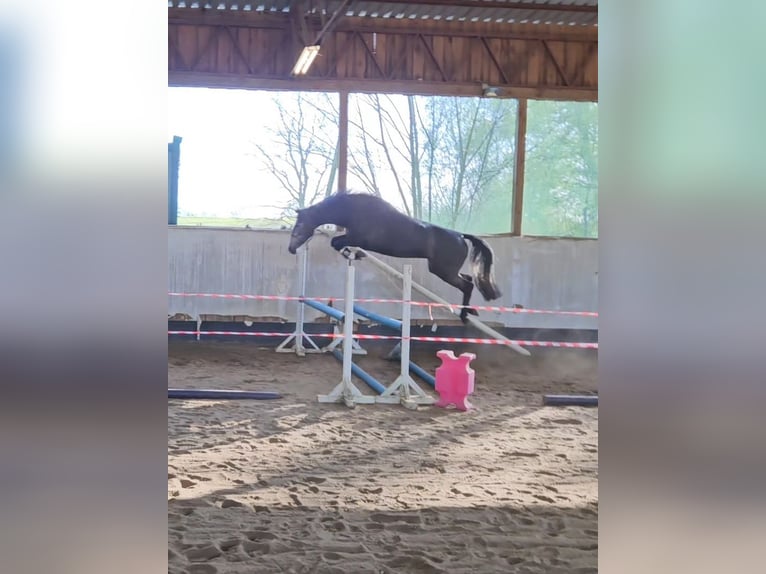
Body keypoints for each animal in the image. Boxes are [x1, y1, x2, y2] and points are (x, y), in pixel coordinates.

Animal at [288, 194, 504, 324]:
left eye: (299, 226)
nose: (291, 249)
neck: (355, 211)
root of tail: (460, 235)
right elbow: (338, 244)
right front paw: (355, 255)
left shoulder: (358, 238)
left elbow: (336, 242)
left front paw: (354, 254)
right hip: (446, 270)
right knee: (468, 279)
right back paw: (470, 311)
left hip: (443, 271)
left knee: (467, 285)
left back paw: (465, 316)